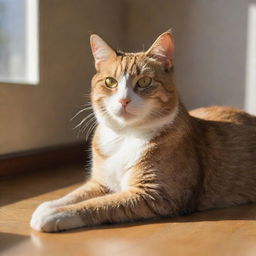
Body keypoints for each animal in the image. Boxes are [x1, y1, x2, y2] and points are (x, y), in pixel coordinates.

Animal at [31, 30, 256, 232]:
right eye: (110, 82)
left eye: (145, 81)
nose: (124, 100)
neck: (125, 136)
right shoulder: (101, 182)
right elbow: (75, 193)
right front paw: (49, 205)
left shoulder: (153, 194)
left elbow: (100, 204)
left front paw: (56, 214)